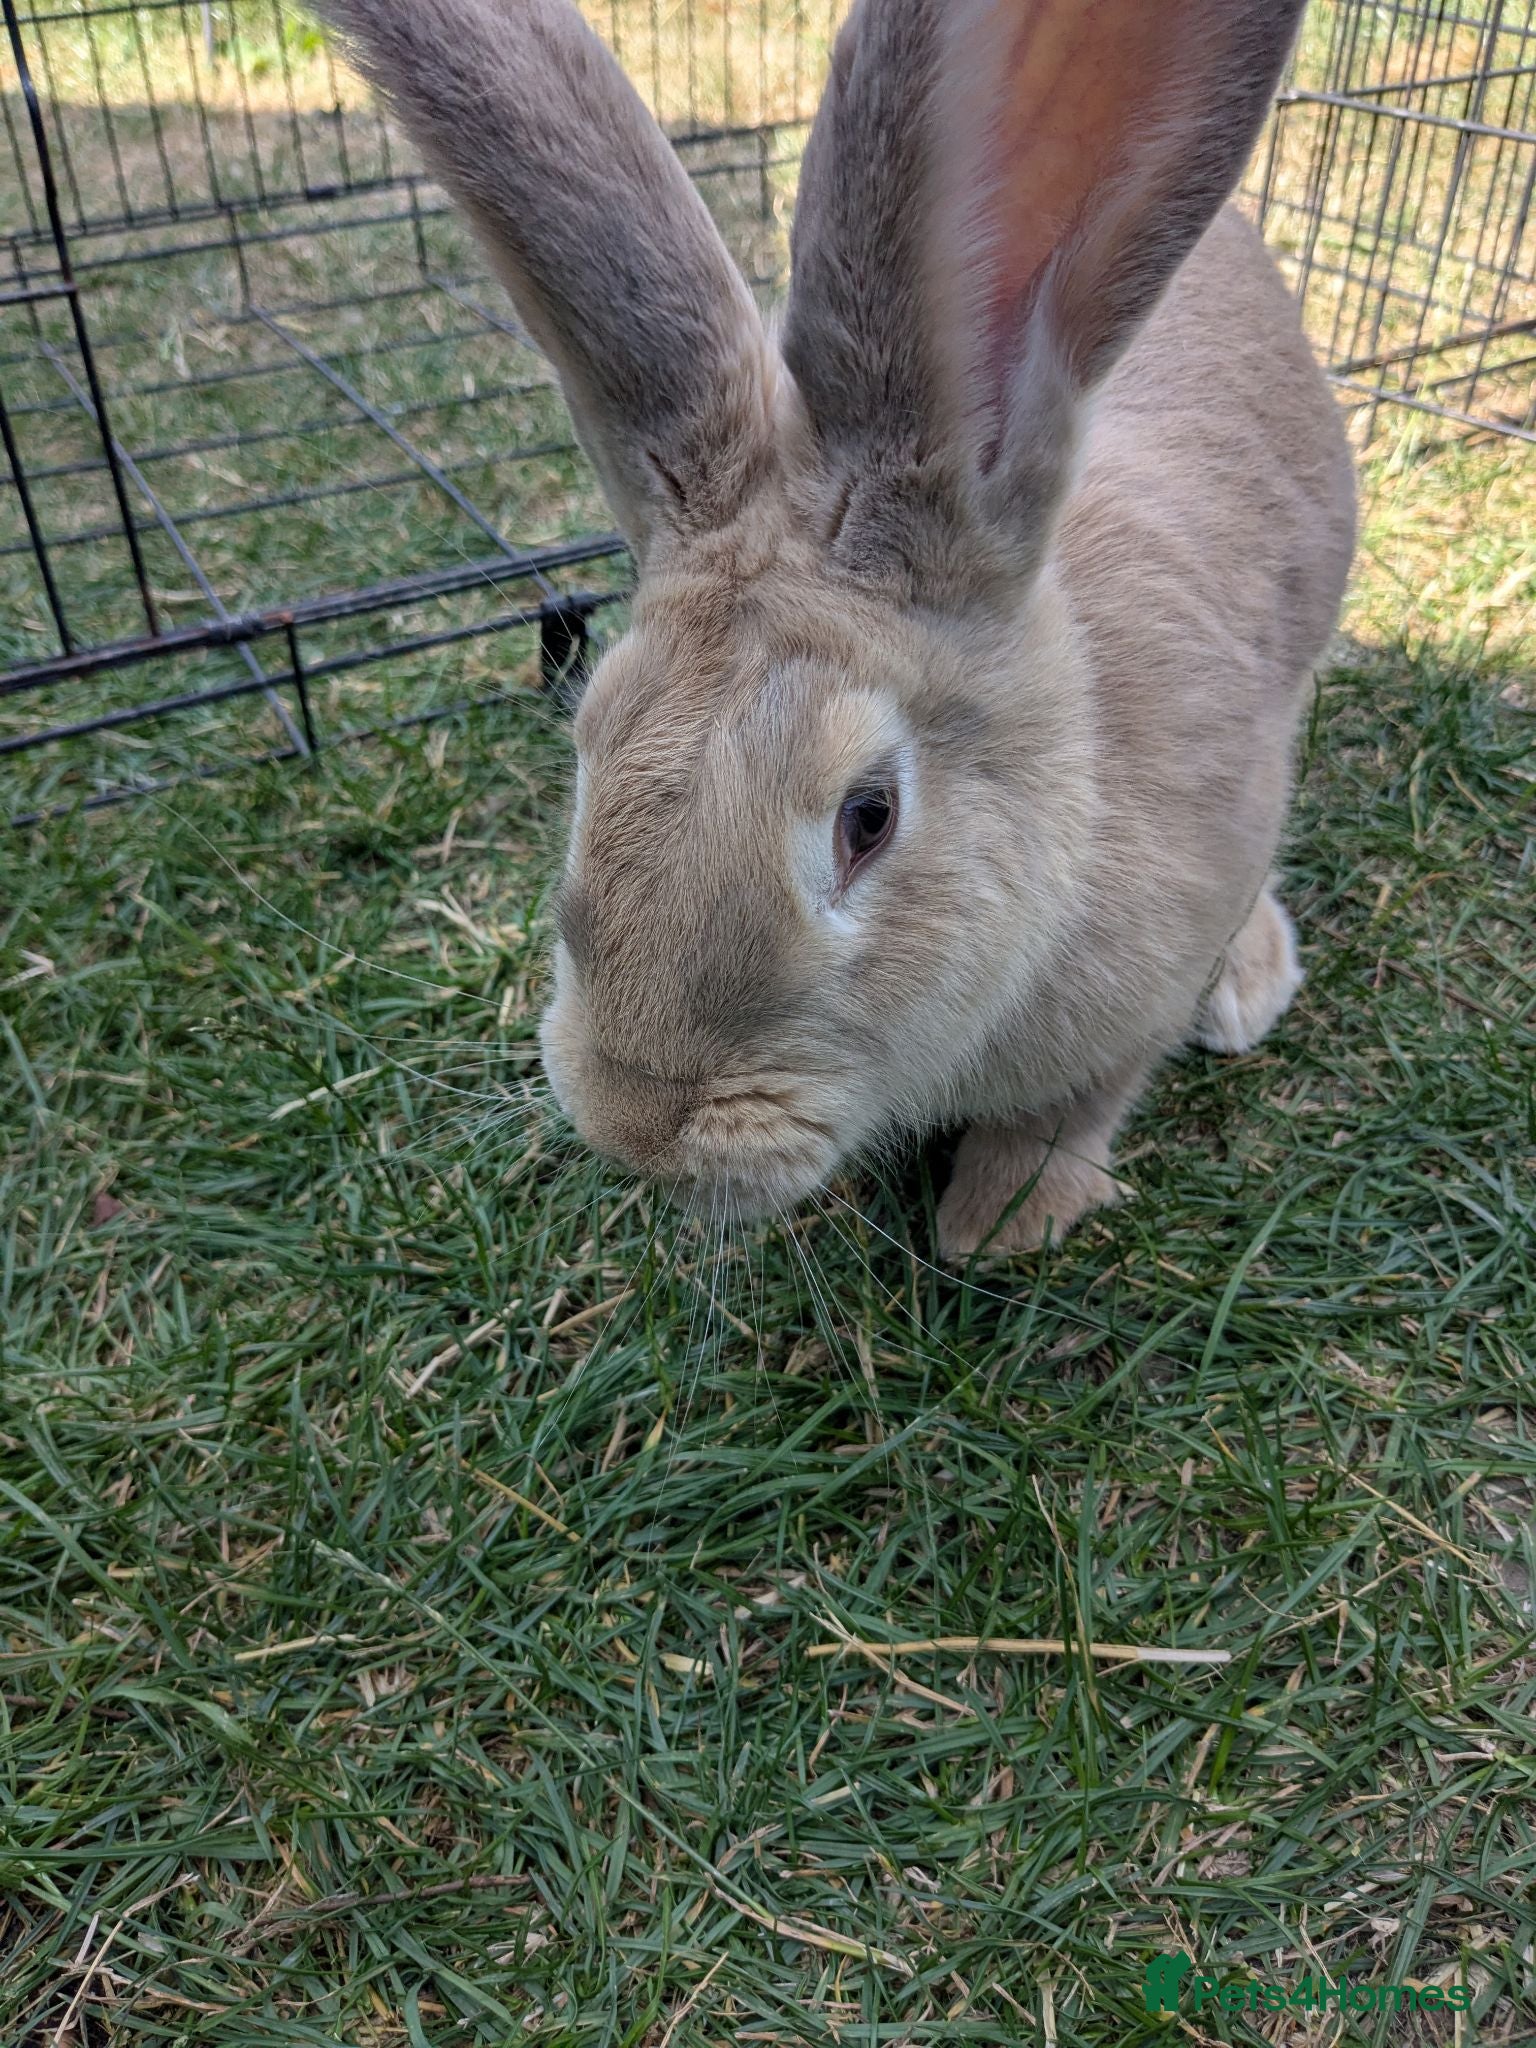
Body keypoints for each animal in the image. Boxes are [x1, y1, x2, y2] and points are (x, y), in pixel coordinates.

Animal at [325, 0, 1356, 1258]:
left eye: (869, 817)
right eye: (588, 744)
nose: (633, 1125)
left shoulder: (1140, 989)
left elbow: (1068, 1114)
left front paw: (997, 1225)